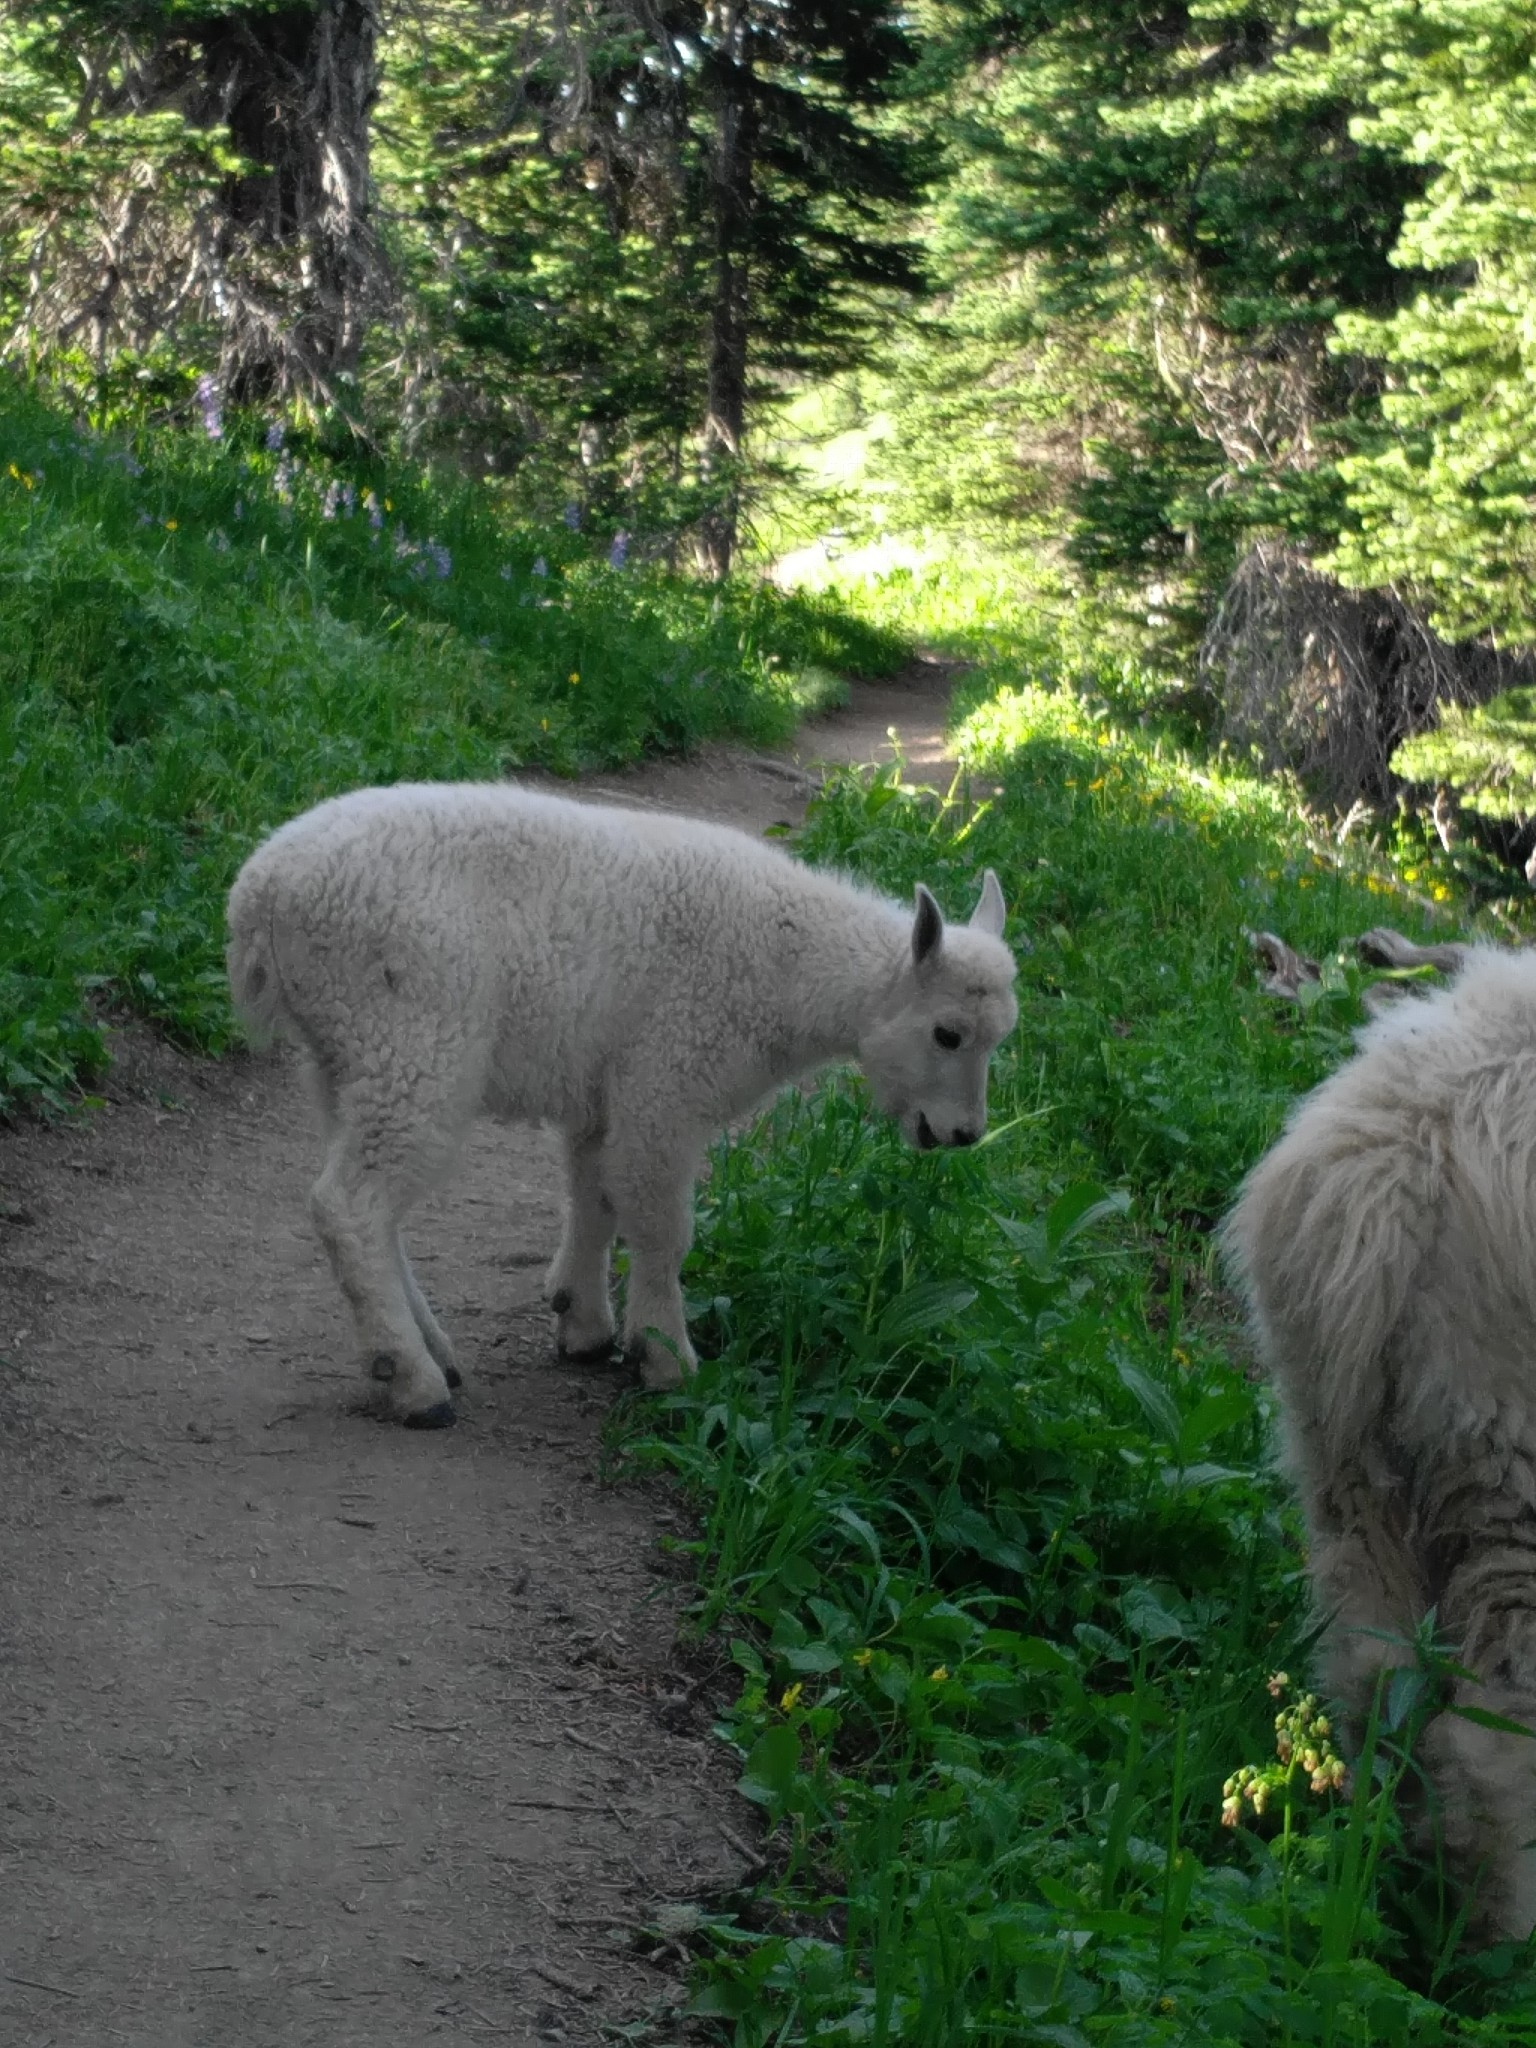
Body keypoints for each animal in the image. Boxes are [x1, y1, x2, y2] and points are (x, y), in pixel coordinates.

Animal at [225, 778, 1024, 1425]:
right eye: (948, 1033)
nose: (963, 1133)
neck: (788, 968)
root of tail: (259, 901)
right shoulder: (666, 1082)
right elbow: (662, 1225)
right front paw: (665, 1357)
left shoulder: (606, 1092)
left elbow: (596, 1196)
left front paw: (582, 1323)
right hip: (413, 1036)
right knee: (350, 1205)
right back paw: (414, 1384)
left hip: (344, 1056)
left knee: (372, 1204)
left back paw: (432, 1353)